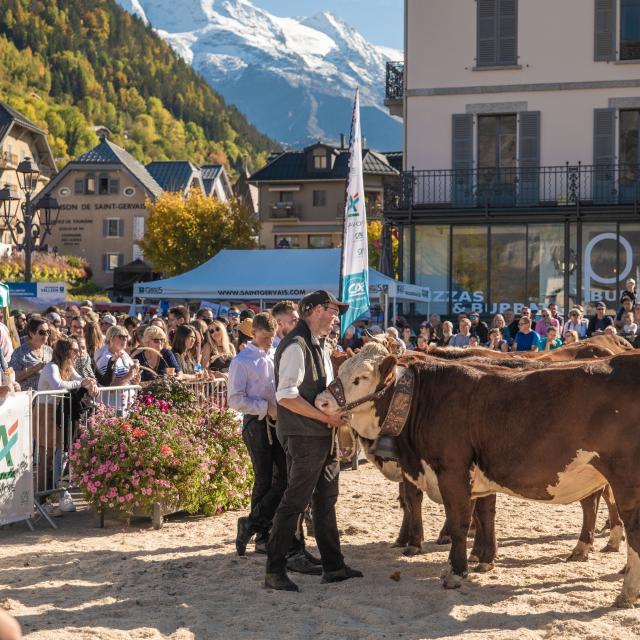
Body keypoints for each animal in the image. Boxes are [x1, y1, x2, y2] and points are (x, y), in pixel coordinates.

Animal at [320, 340, 640, 604]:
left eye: (360, 378)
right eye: (340, 370)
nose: (321, 401)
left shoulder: (452, 471)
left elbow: (458, 521)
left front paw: (455, 570)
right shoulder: (478, 476)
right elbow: (484, 516)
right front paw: (483, 559)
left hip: (625, 480)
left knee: (627, 525)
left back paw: (627, 591)